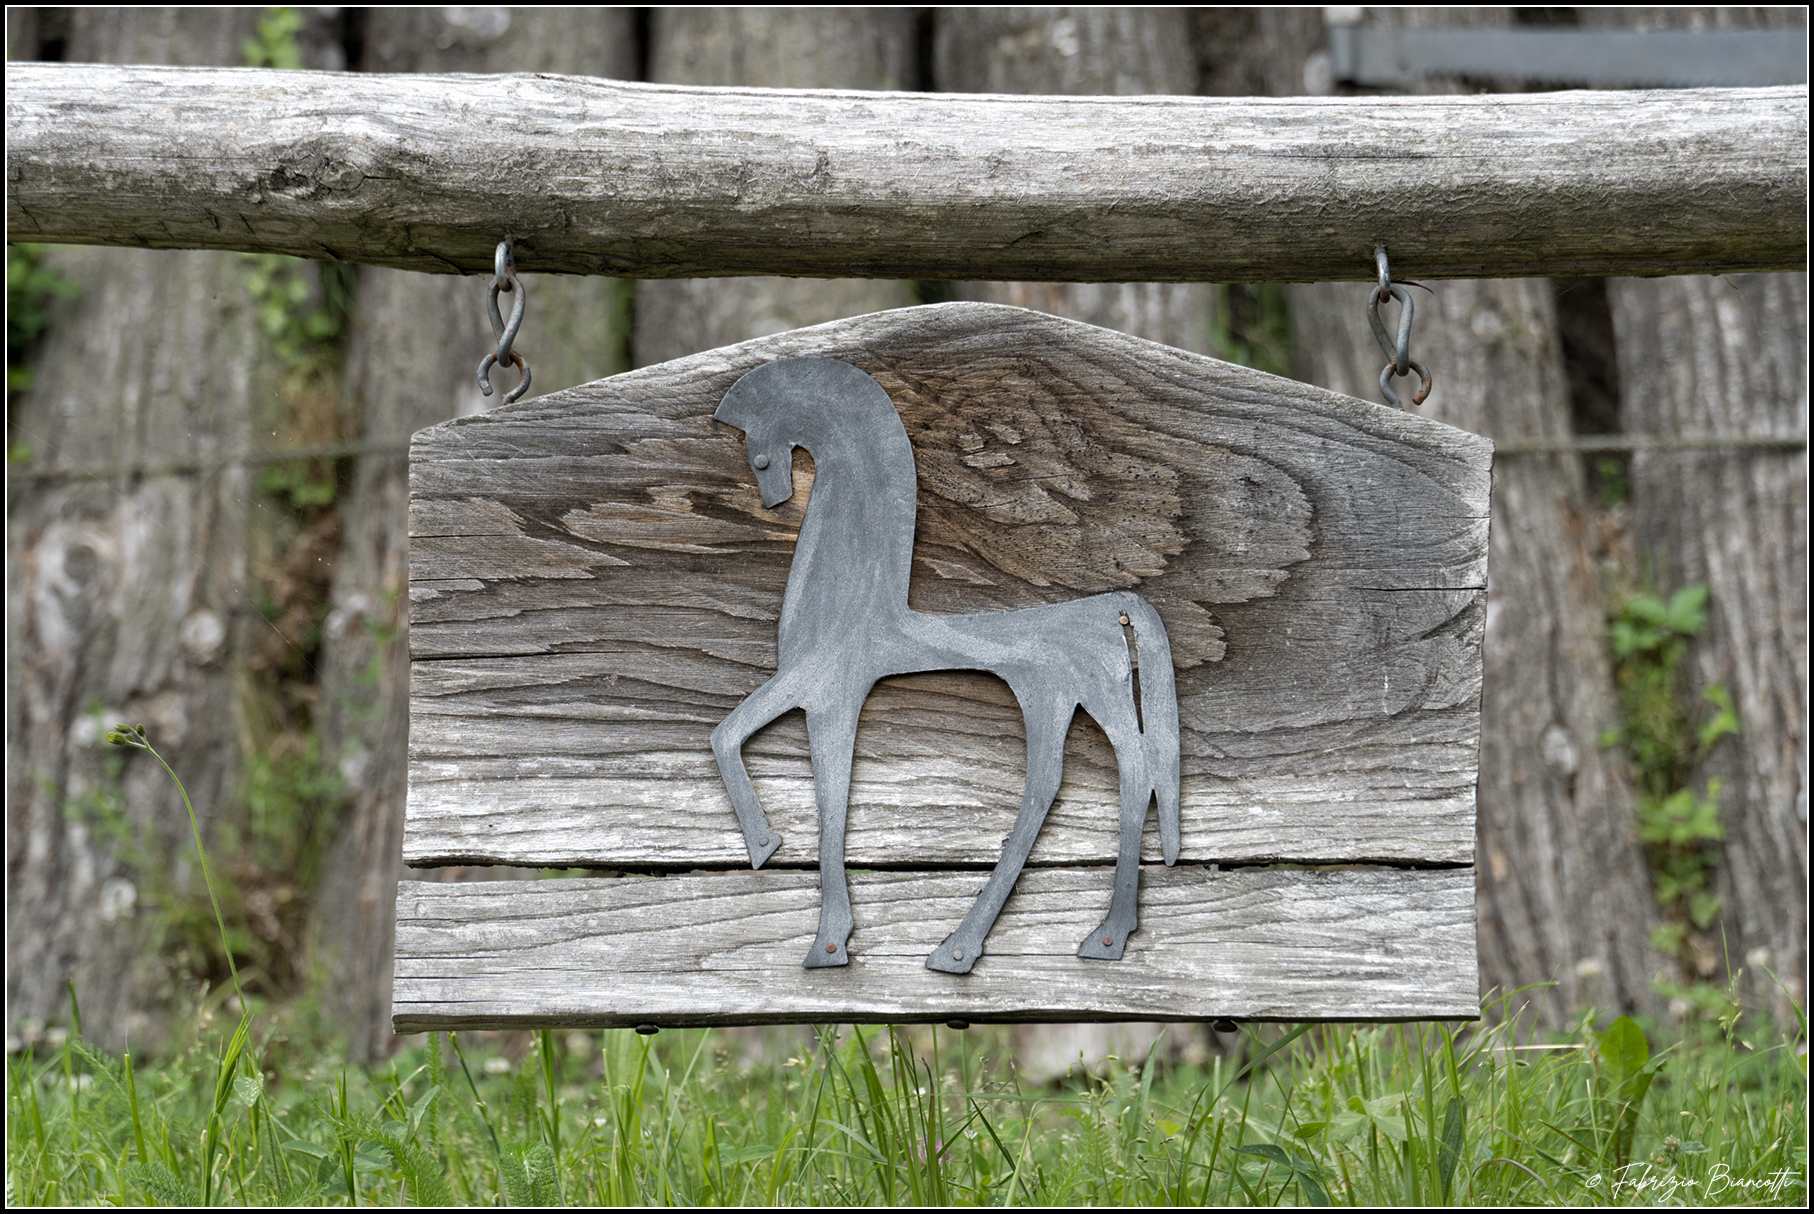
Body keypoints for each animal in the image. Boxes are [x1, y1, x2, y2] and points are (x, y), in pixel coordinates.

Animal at [711, 357, 1180, 973]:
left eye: (759, 455)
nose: (772, 499)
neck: (850, 593)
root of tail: (1115, 611)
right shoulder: (824, 702)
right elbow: (821, 794)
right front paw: (829, 932)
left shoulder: (819, 688)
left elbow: (734, 741)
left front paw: (777, 863)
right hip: (1073, 699)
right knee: (1099, 773)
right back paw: (1089, 935)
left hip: (1071, 694)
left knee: (1098, 775)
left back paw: (975, 946)